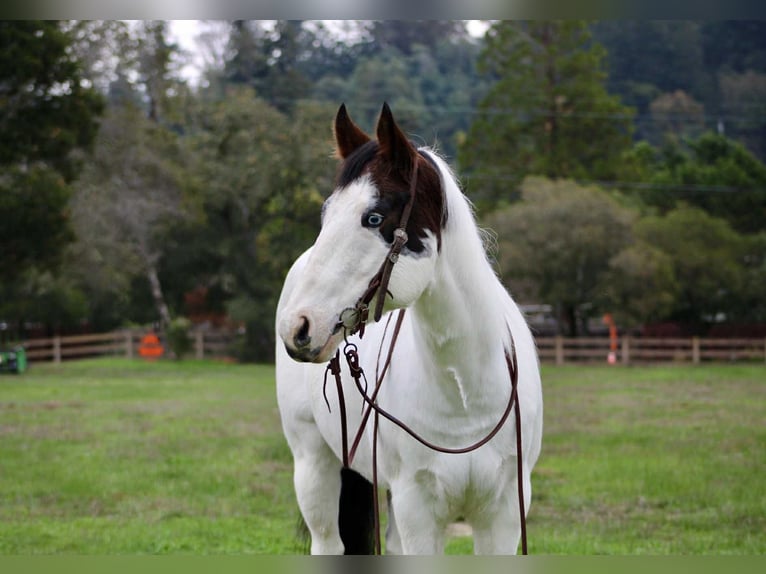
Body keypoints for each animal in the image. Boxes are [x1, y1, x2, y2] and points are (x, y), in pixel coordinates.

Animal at [275, 103, 543, 554]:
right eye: (327, 214)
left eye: (374, 217)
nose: (298, 325)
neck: (465, 393)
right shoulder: (418, 510)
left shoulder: (504, 513)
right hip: (314, 465)